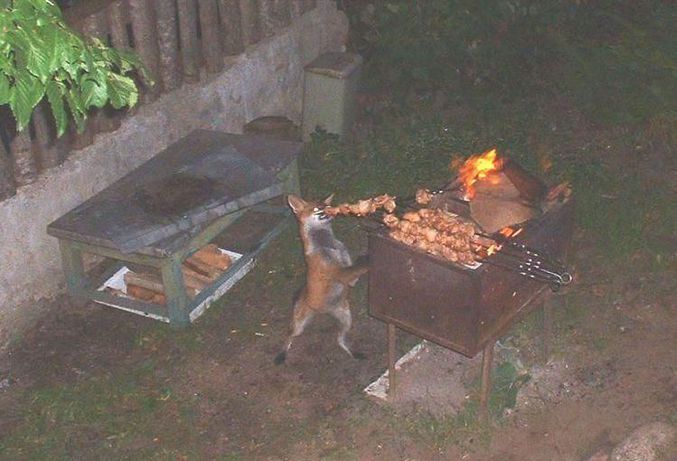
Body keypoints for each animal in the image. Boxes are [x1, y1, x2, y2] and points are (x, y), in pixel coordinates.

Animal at [272, 192, 368, 364]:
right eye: (317, 208)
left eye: (327, 205)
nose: (329, 209)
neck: (329, 246)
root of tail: (323, 311)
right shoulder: (339, 272)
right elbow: (360, 266)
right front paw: (370, 259)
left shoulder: (349, 277)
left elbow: (357, 267)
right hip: (299, 325)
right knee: (289, 334)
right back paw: (281, 354)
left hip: (346, 318)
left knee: (340, 340)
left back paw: (354, 352)